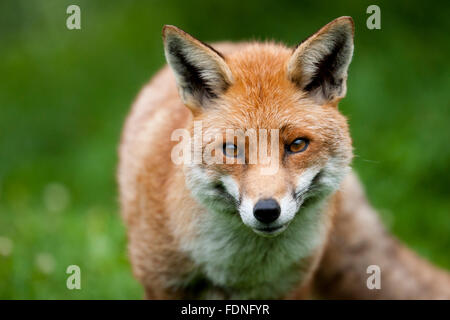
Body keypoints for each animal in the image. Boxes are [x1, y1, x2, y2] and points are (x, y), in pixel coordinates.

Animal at [118, 16, 450, 298]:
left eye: (297, 145)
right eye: (232, 149)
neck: (241, 274)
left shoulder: (293, 287)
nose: (266, 211)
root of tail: (240, 41)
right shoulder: (159, 282)